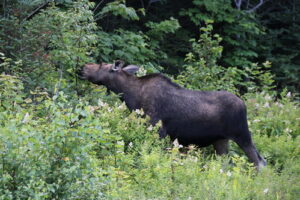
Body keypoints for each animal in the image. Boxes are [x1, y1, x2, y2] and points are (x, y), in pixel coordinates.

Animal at [78, 60, 266, 170]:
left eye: (101, 64)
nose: (82, 67)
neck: (131, 96)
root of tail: (244, 104)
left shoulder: (158, 129)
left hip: (241, 134)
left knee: (259, 161)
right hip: (221, 140)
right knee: (227, 164)